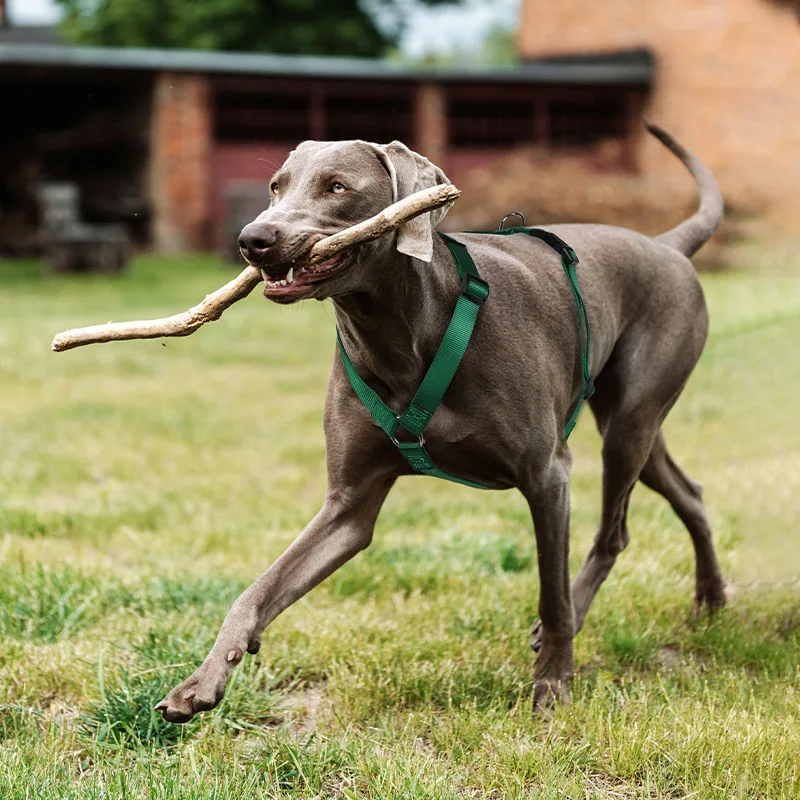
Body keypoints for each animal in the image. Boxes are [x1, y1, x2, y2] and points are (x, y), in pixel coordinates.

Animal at [155, 125, 724, 724]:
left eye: (336, 187)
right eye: (275, 187)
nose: (253, 238)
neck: (400, 334)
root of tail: (665, 245)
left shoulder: (548, 476)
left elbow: (551, 591)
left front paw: (552, 686)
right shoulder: (348, 507)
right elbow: (257, 590)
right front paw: (200, 682)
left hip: (630, 421)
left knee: (612, 535)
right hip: (635, 426)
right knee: (687, 491)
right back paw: (711, 598)